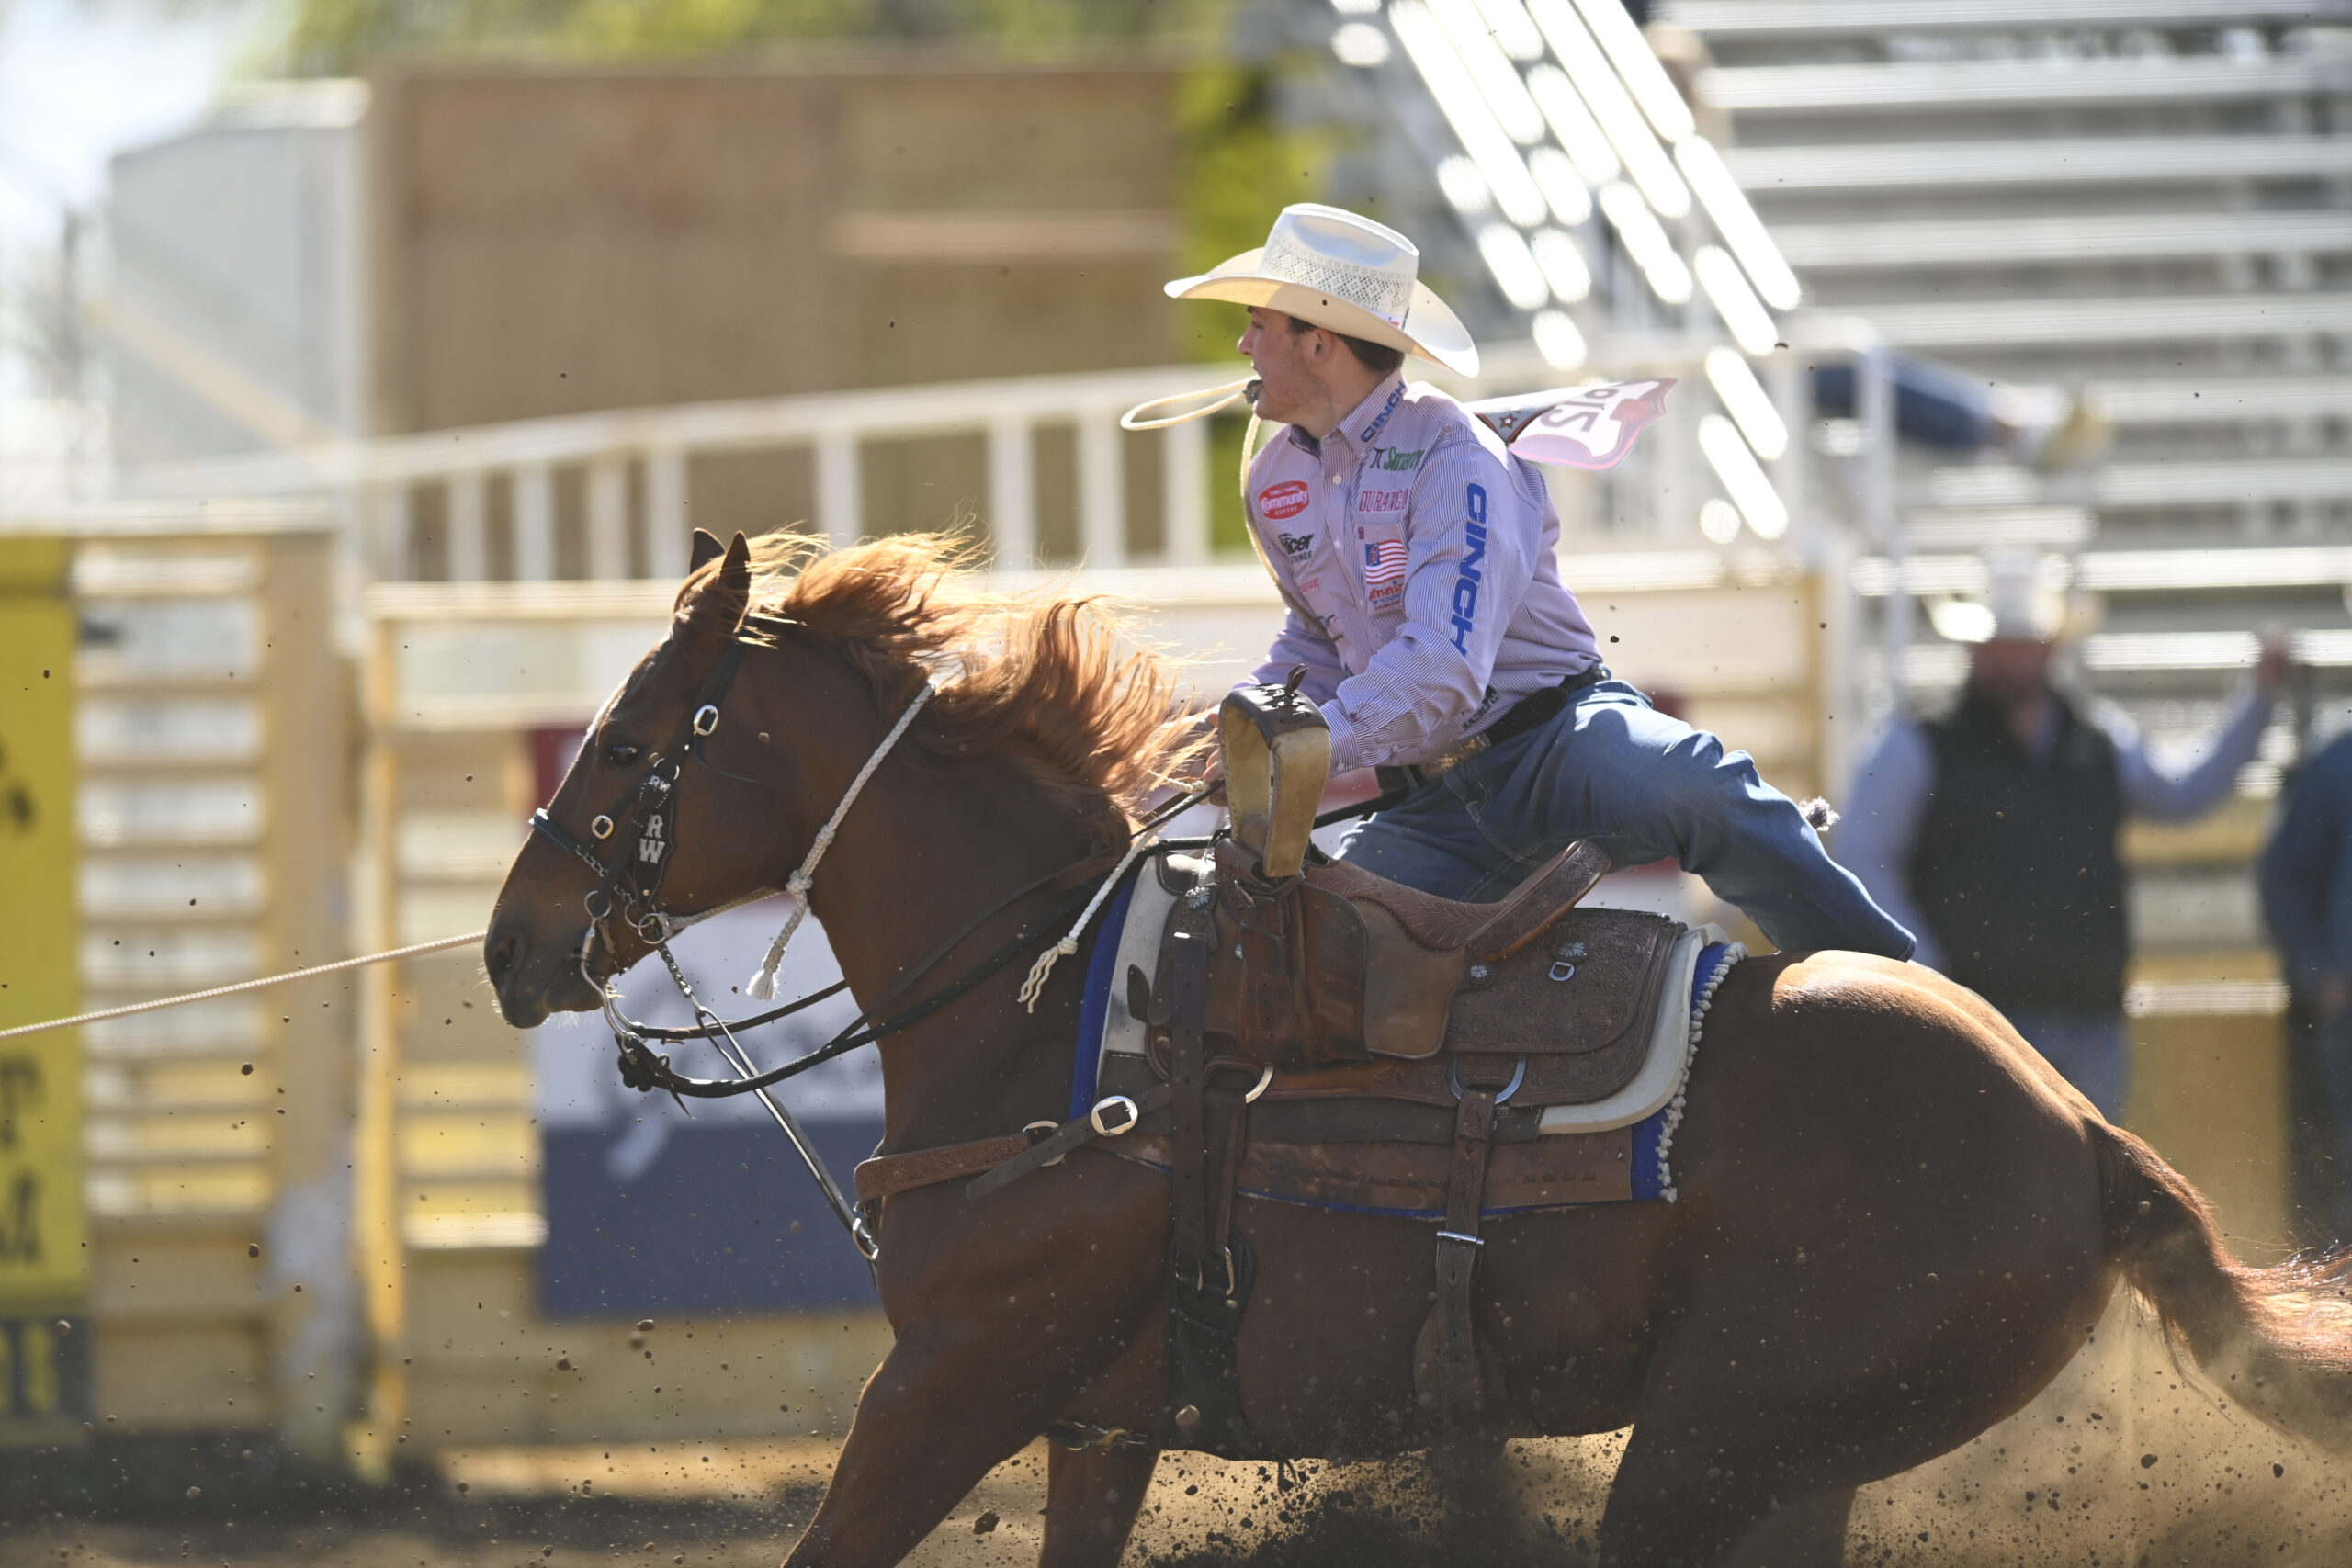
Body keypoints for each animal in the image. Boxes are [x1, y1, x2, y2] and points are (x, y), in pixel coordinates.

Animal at [486, 536, 2342, 1568]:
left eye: (635, 740)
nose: (508, 941)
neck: (1049, 1013)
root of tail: (2085, 1136)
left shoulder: (959, 1373)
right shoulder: (1095, 1418)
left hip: (1717, 1441)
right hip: (1796, 1459)